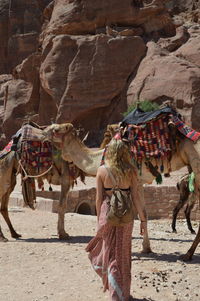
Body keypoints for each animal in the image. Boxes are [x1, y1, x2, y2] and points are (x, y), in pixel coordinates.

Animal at [43, 122, 200, 260]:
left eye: (56, 129)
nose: (43, 132)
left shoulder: (133, 178)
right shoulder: (139, 182)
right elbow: (143, 213)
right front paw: (146, 248)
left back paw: (187, 254)